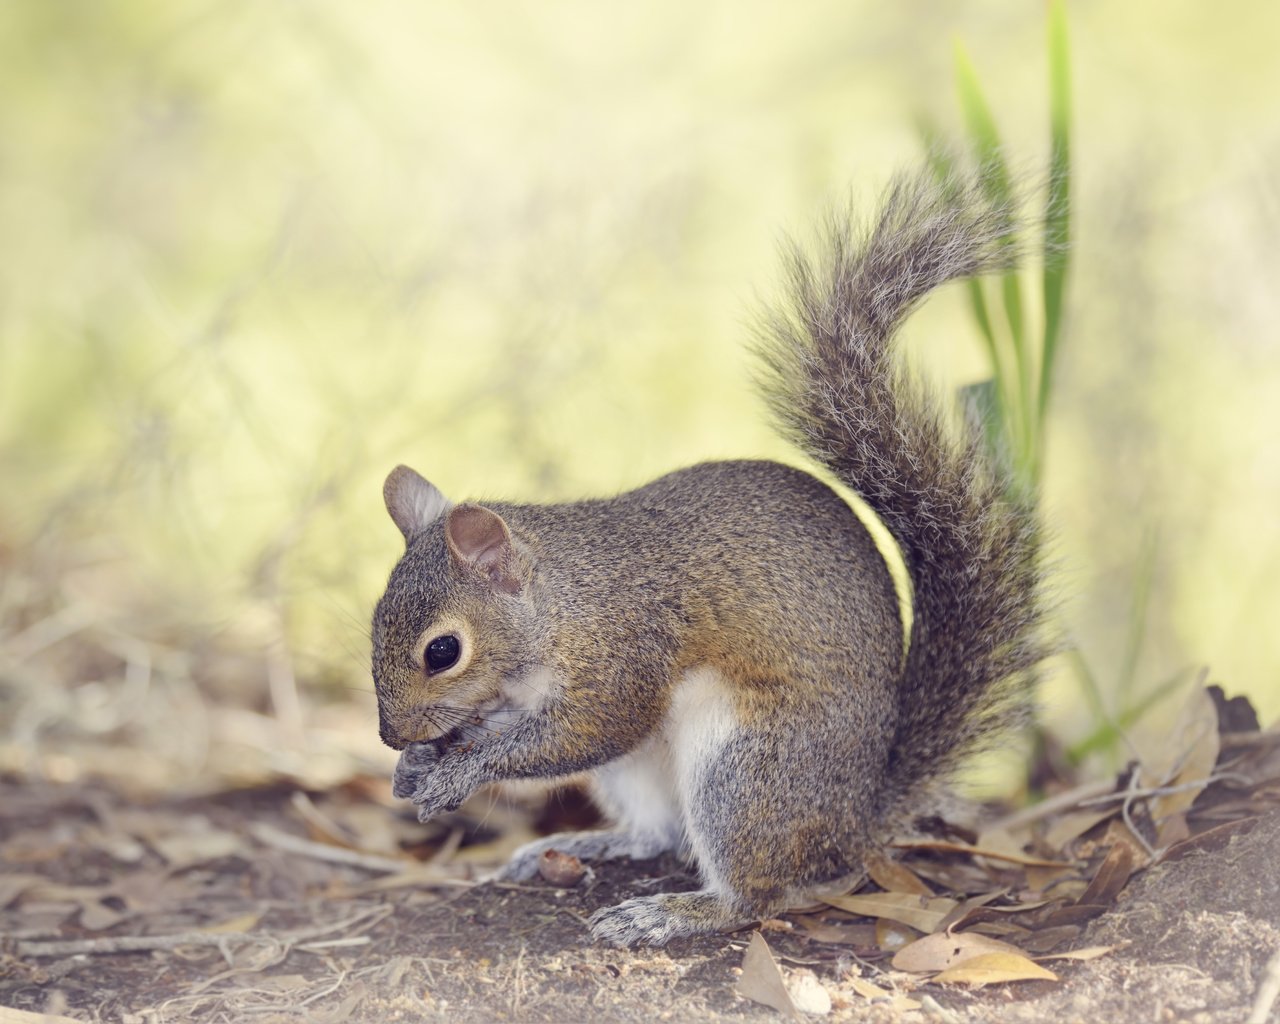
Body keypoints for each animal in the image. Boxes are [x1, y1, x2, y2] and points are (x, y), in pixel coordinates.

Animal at [371, 166, 1049, 942]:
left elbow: (580, 733)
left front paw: (457, 771)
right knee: (657, 834)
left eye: (442, 652)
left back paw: (670, 912)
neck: (559, 607)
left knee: (754, 895)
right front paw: (420, 763)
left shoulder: (623, 658)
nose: (390, 735)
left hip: (746, 767)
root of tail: (853, 825)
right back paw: (581, 845)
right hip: (646, 775)